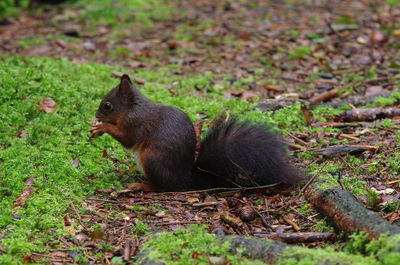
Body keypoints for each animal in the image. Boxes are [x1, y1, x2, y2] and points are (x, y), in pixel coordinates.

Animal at [89, 73, 304, 190]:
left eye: (107, 105)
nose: (96, 115)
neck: (132, 107)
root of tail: (185, 179)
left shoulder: (136, 123)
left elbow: (128, 139)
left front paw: (103, 127)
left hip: (152, 158)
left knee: (162, 188)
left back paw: (142, 185)